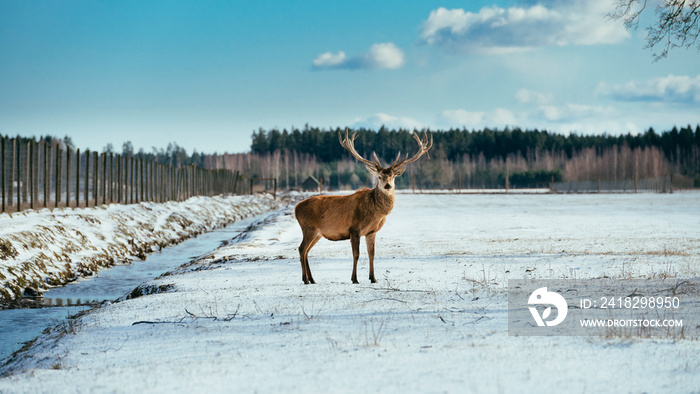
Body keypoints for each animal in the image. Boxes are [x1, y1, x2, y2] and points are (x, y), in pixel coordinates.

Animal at [292, 127, 432, 284]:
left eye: (393, 176)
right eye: (379, 177)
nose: (388, 186)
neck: (375, 213)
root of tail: (296, 208)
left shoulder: (371, 231)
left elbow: (372, 254)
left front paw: (373, 278)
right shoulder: (354, 229)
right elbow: (356, 255)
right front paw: (354, 279)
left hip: (317, 233)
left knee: (306, 251)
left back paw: (311, 279)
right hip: (308, 228)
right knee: (301, 249)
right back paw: (305, 279)